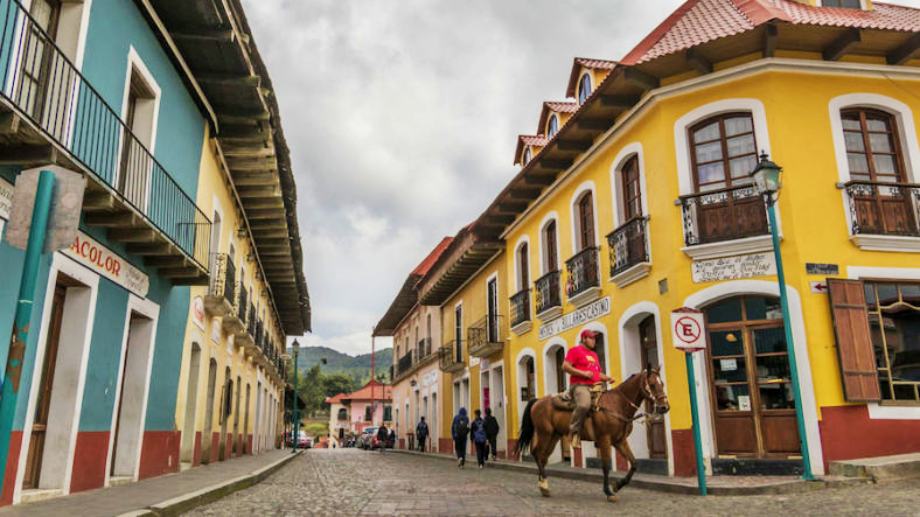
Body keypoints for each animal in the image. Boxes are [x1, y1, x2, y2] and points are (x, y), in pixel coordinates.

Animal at [516, 368, 668, 502]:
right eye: (652, 384)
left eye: (662, 383)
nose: (664, 407)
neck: (617, 404)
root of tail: (537, 401)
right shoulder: (604, 439)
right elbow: (606, 465)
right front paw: (608, 492)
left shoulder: (620, 440)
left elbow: (634, 463)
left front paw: (617, 485)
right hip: (545, 433)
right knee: (537, 453)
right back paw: (545, 485)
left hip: (554, 435)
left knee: (543, 457)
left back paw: (543, 485)